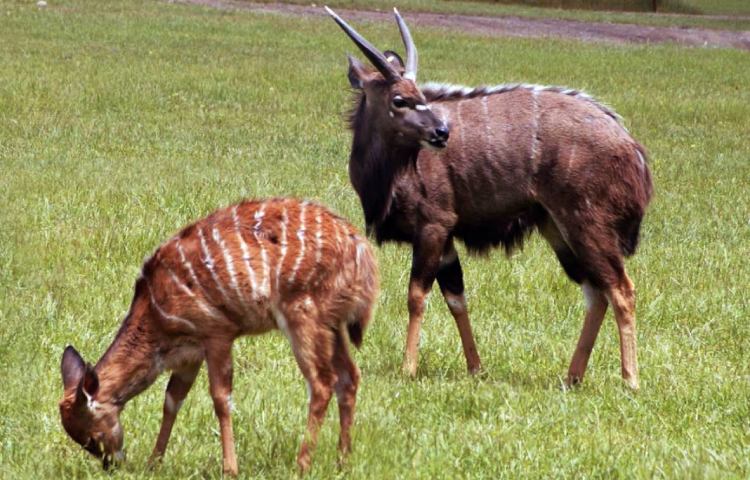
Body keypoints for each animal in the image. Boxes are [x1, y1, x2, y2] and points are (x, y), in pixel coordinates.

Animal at [57, 197, 382, 474]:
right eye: (82, 441)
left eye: (93, 436)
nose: (111, 465)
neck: (156, 316)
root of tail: (361, 251)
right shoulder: (190, 354)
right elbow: (172, 400)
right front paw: (154, 463)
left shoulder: (217, 334)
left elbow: (221, 399)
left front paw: (230, 469)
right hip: (333, 324)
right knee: (349, 377)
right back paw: (342, 461)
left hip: (304, 316)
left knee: (322, 383)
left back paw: (302, 465)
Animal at [328, 7, 652, 390]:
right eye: (399, 99)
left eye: (419, 93)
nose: (441, 132)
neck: (390, 172)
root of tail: (631, 147)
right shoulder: (446, 239)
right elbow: (456, 297)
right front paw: (475, 367)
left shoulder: (434, 226)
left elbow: (416, 295)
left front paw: (408, 368)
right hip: (557, 229)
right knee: (596, 291)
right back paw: (572, 377)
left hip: (587, 223)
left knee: (621, 289)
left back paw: (630, 380)